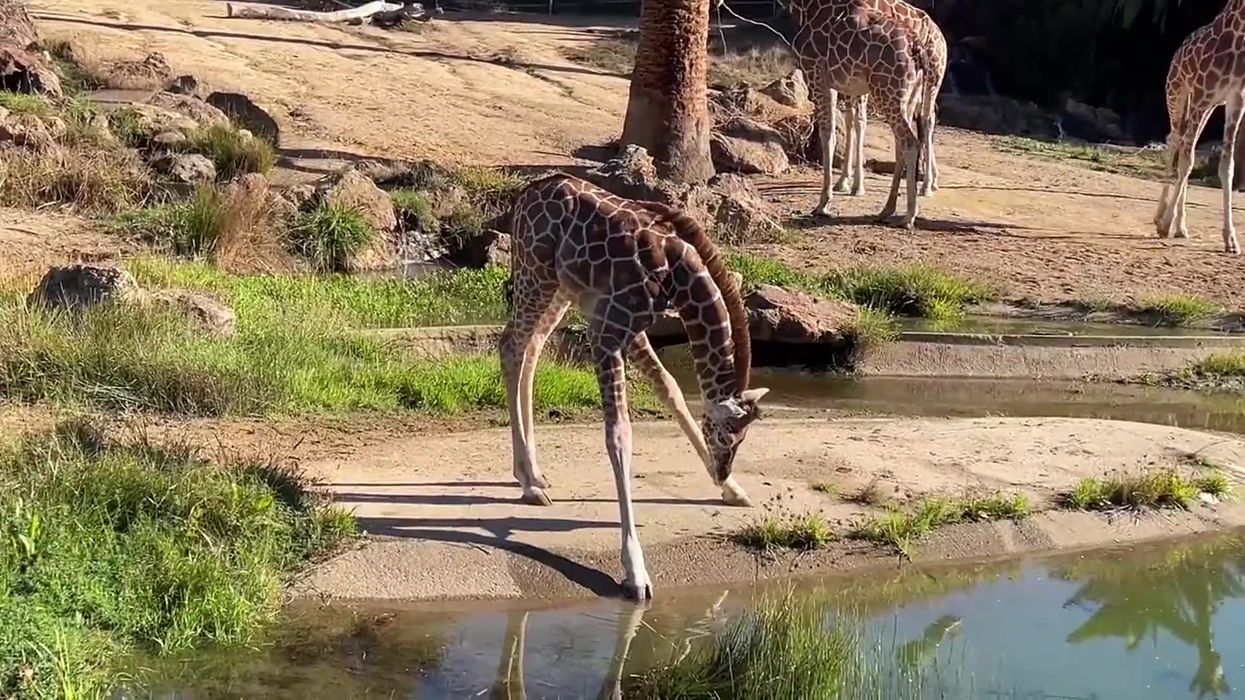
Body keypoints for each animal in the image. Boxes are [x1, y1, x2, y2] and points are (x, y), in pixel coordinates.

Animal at [499, 174, 769, 601]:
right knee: (511, 345)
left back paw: (533, 474)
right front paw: (635, 570)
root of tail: (526, 193)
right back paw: (528, 485)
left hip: (562, 288)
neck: (676, 273)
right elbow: (619, 434)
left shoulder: (627, 326)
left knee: (532, 348)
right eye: (725, 436)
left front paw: (732, 489)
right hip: (535, 274)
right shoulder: (607, 332)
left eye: (742, 440)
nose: (722, 469)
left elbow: (671, 388)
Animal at [788, 0, 926, 228]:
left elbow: (828, 136)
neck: (809, 7)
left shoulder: (817, 76)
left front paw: (823, 204)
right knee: (901, 145)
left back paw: (909, 216)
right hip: (908, 97)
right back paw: (886, 210)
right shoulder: (839, 84)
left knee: (910, 142)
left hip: (888, 94)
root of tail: (917, 49)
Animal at [834, 4, 948, 199]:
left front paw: (854, 184)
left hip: (932, 80)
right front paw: (844, 181)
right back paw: (930, 180)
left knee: (927, 119)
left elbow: (858, 121)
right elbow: (848, 120)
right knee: (925, 119)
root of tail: (942, 38)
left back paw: (925, 185)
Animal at [1154, 0, 1245, 255]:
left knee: (1187, 142)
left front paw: (1231, 240)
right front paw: (1165, 223)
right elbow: (1187, 161)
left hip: (1208, 105)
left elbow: (1227, 166)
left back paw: (1181, 227)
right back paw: (1160, 216)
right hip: (1177, 91)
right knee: (1175, 139)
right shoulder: (1202, 95)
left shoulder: (1235, 99)